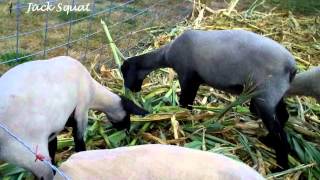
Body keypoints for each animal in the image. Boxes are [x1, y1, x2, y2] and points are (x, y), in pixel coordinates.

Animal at [0, 56, 148, 179]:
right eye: (128, 115)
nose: (127, 131)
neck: (95, 93)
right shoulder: (82, 110)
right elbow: (79, 140)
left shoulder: (55, 130)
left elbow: (54, 146)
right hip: (32, 157)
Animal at [120, 29, 298, 170]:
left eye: (125, 73)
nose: (129, 90)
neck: (167, 54)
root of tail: (291, 67)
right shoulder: (195, 80)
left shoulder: (187, 77)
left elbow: (185, 103)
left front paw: (182, 121)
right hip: (274, 96)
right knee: (283, 117)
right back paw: (267, 141)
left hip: (265, 96)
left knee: (281, 137)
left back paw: (280, 167)